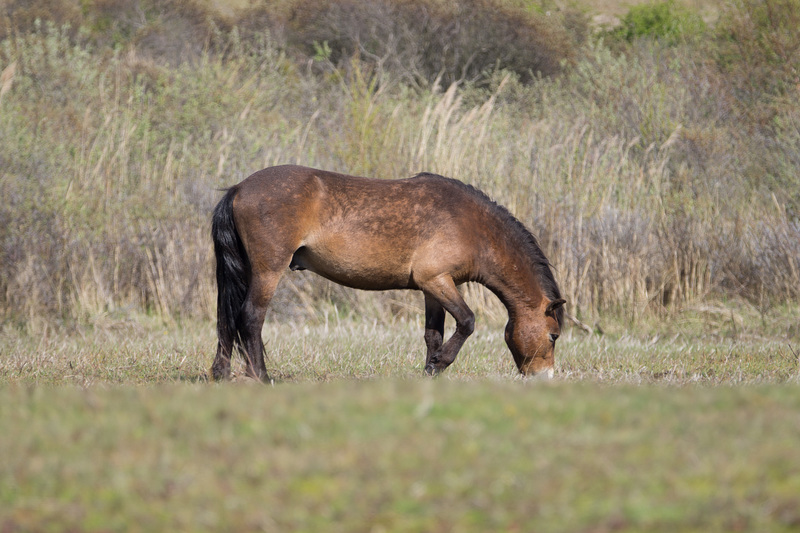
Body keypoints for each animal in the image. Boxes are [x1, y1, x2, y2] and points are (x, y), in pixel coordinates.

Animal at [209, 164, 564, 380]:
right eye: (554, 335)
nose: (544, 377)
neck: (470, 224)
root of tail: (239, 188)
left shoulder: (433, 288)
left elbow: (433, 335)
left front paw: (431, 371)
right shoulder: (437, 281)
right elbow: (467, 321)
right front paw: (440, 363)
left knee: (227, 319)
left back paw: (222, 373)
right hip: (268, 270)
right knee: (250, 317)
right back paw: (261, 377)